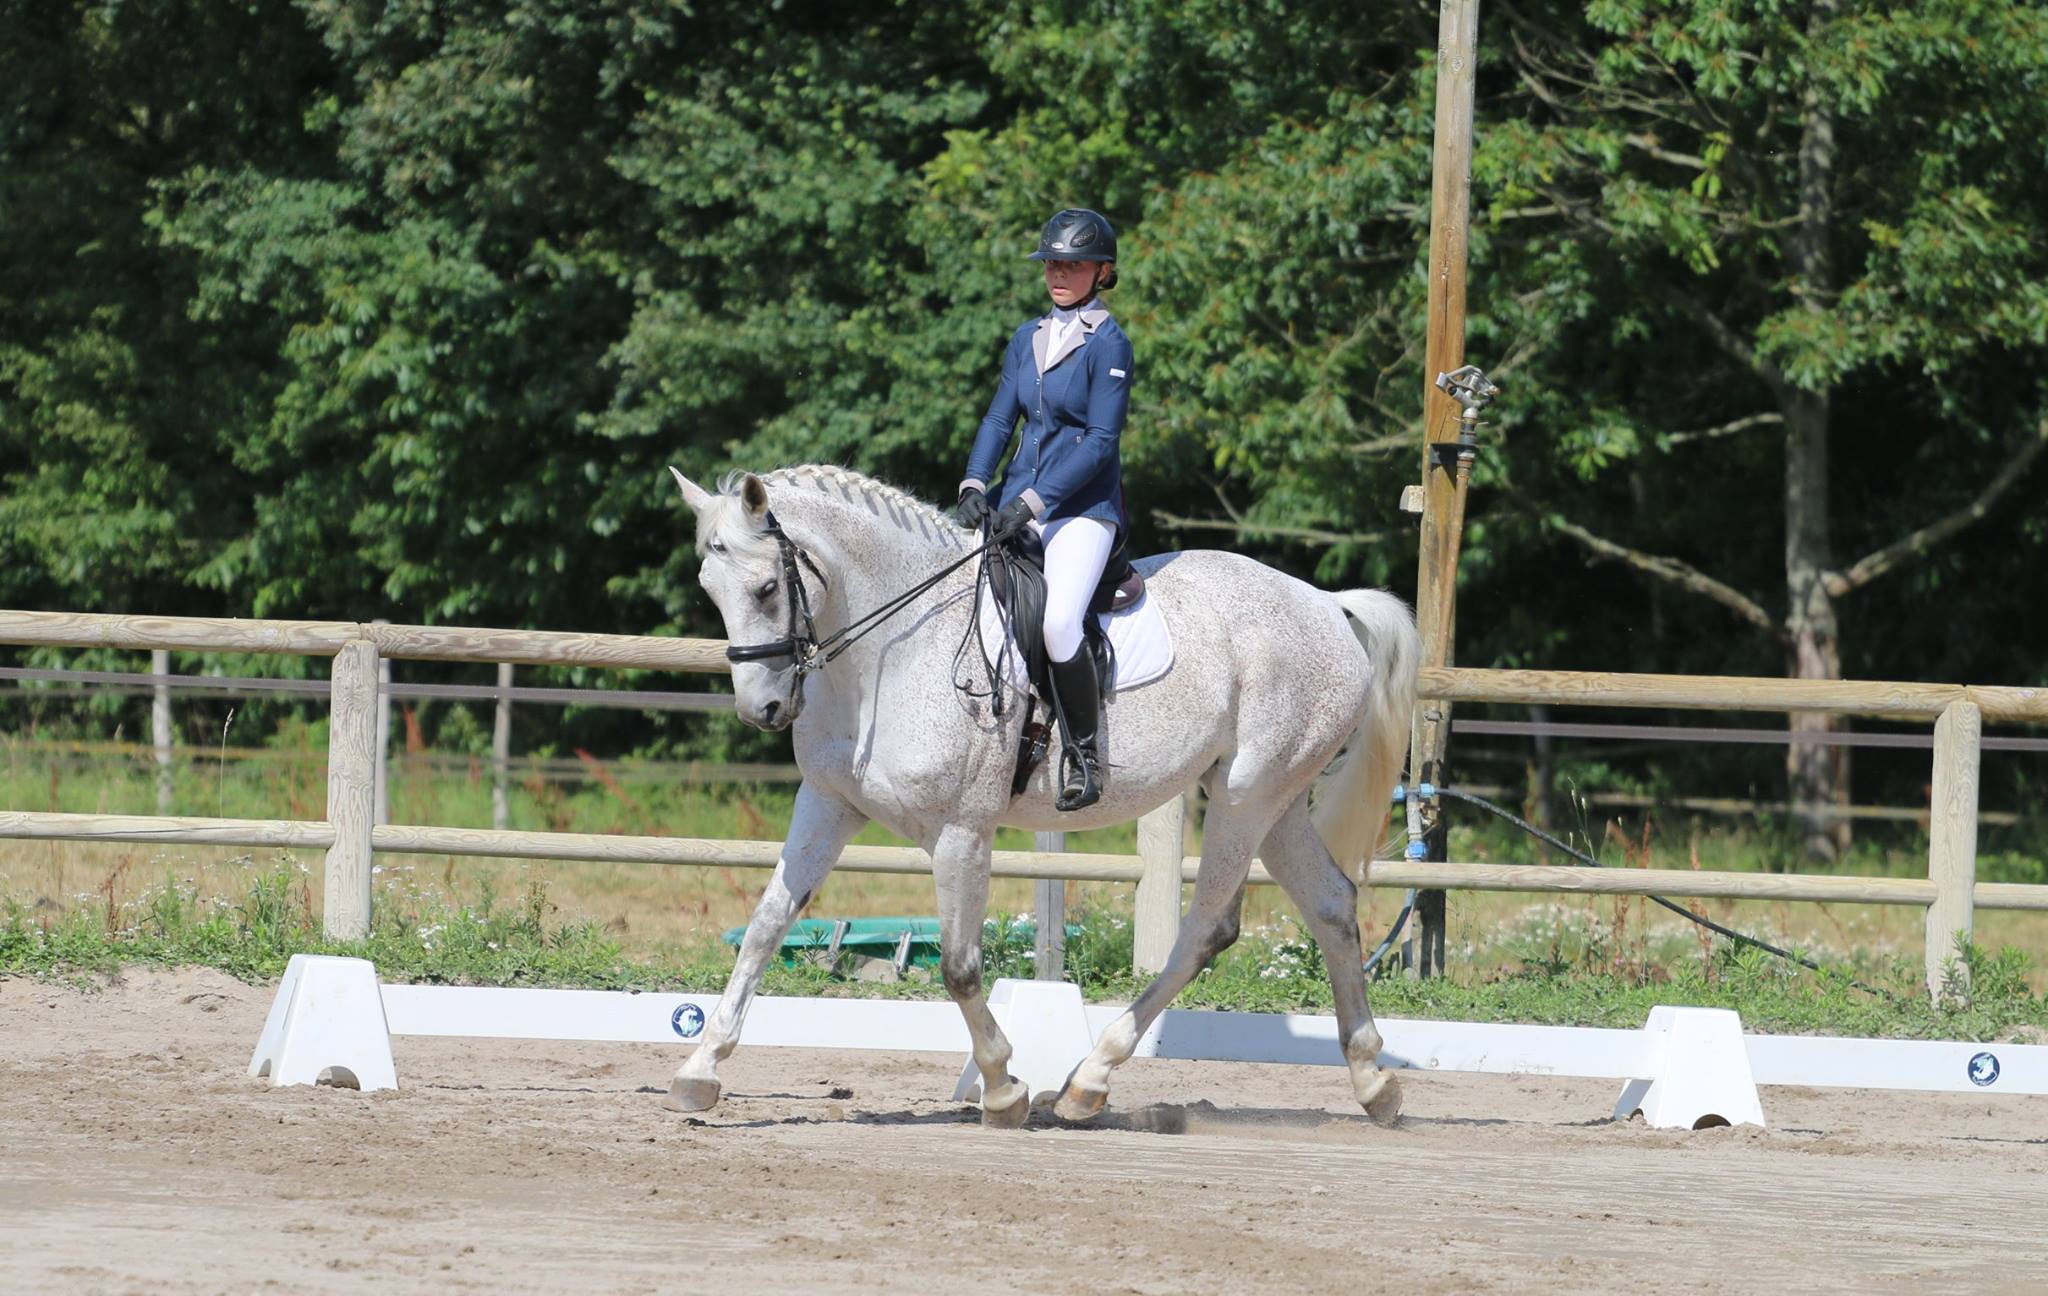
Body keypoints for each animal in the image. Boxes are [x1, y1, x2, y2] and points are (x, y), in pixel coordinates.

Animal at [663, 464, 1417, 1121]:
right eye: (709, 586)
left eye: (767, 588)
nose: (761, 710)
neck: (890, 652)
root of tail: (1326, 604)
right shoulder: (828, 802)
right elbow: (766, 926)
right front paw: (699, 1069)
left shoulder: (962, 830)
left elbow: (961, 967)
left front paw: (1001, 1087)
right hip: (1276, 800)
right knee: (1330, 904)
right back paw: (1373, 1081)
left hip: (1245, 798)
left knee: (1208, 928)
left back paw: (1090, 1079)